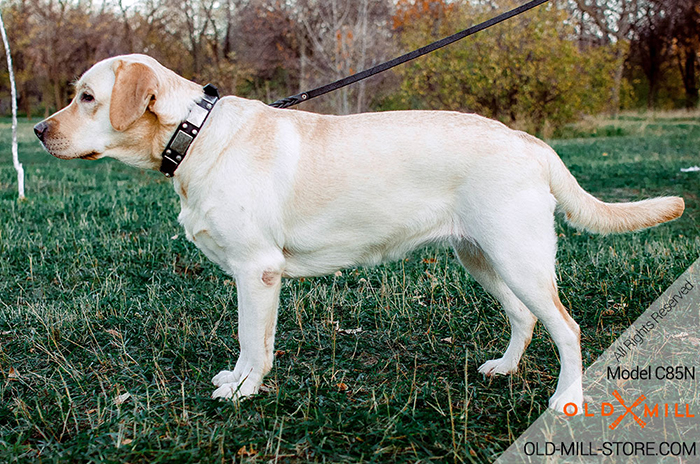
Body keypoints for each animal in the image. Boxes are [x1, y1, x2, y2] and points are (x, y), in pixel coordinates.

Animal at [34, 54, 684, 414]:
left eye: (86, 97)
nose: (39, 130)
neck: (192, 135)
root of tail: (530, 141)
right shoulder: (259, 276)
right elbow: (256, 342)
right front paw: (245, 382)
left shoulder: (255, 269)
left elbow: (250, 341)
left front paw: (242, 391)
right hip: (481, 258)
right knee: (525, 318)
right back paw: (504, 368)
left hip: (518, 256)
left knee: (568, 328)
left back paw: (566, 400)